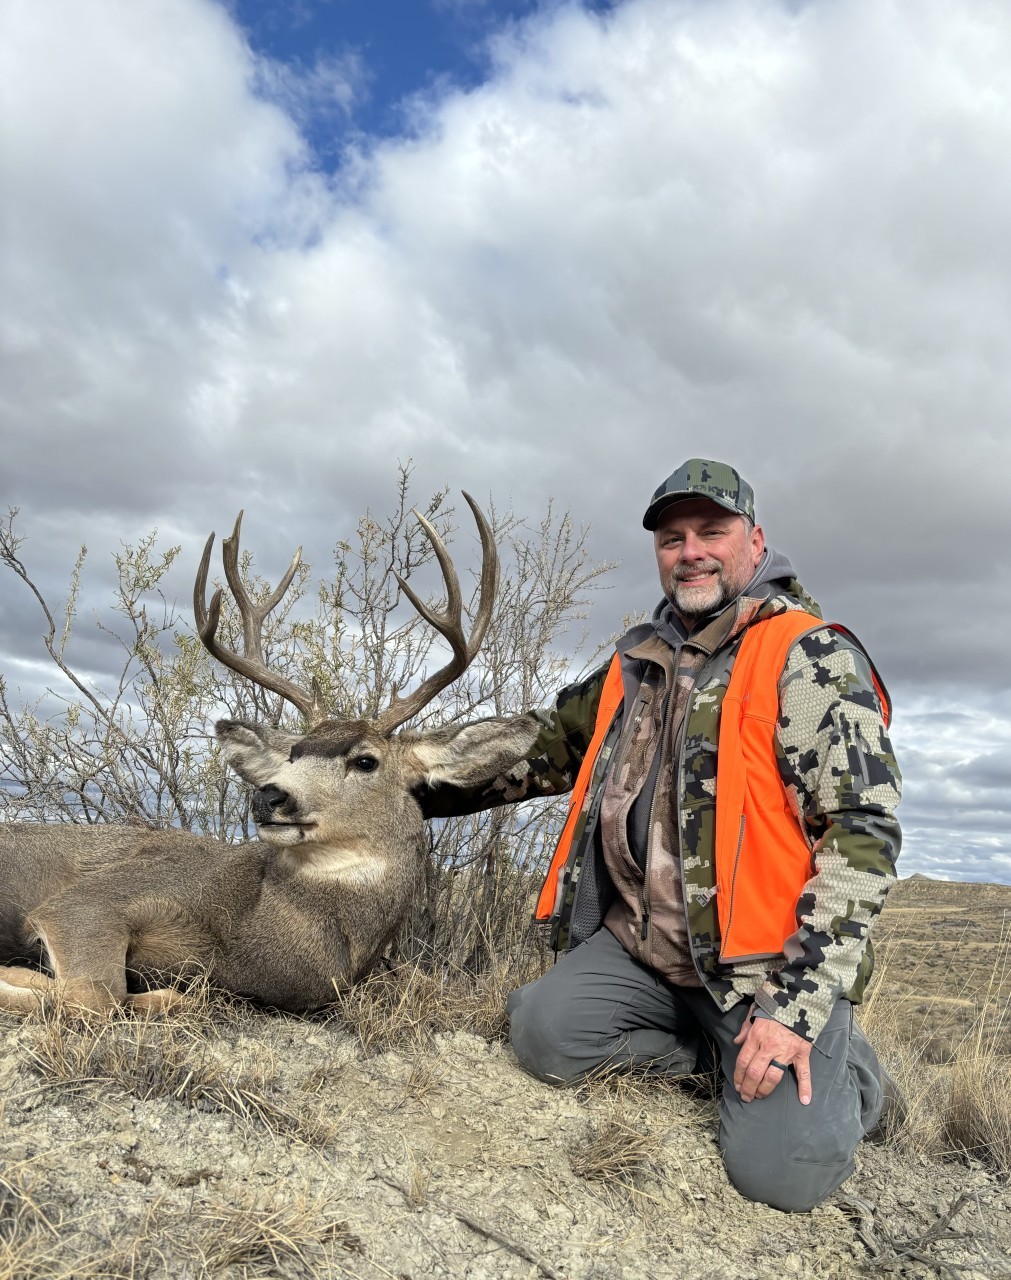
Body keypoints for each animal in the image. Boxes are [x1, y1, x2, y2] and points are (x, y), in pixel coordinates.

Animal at [0, 495, 540, 1016]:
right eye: (294, 753)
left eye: (366, 760)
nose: (268, 796)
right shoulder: (93, 900)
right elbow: (95, 996)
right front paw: (29, 976)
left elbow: (151, 997)